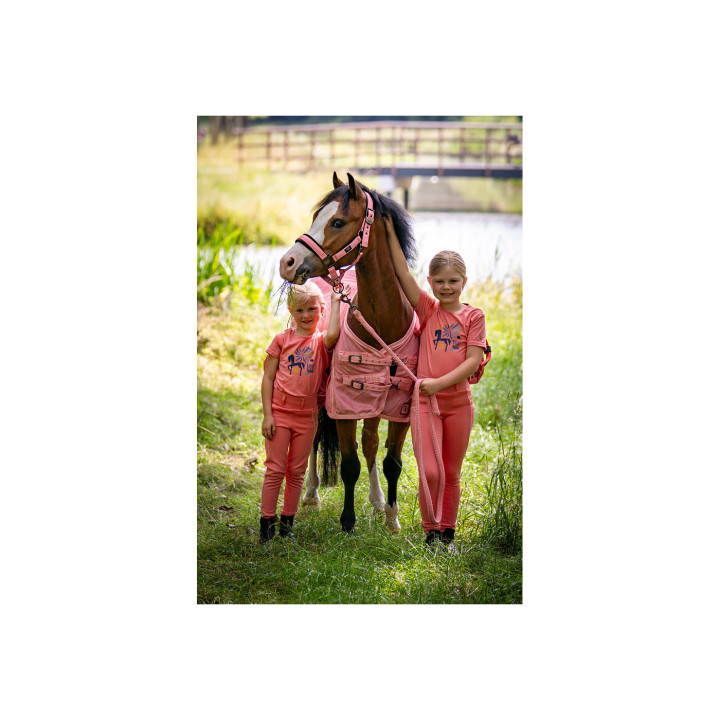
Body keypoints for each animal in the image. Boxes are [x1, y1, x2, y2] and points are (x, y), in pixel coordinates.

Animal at [279, 172, 418, 534]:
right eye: (316, 216)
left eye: (338, 222)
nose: (287, 262)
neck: (382, 323)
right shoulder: (343, 406)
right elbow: (349, 463)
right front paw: (348, 521)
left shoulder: (399, 410)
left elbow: (390, 461)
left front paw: (392, 518)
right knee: (314, 438)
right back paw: (311, 492)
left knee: (369, 443)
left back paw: (377, 500)